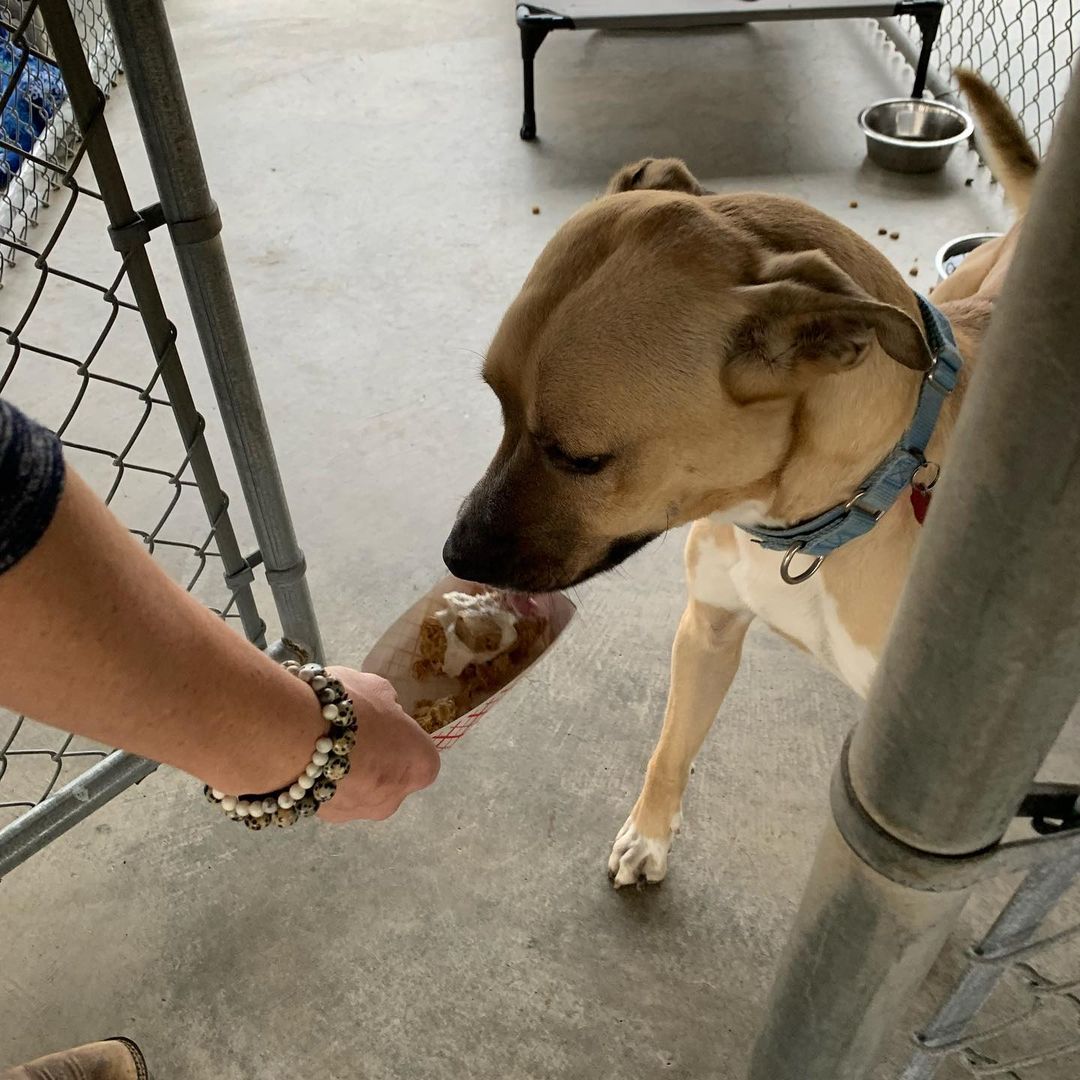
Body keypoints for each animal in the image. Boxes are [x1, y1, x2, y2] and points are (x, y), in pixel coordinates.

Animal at [442, 73, 1032, 885]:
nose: (454, 557)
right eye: (497, 404)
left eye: (581, 459)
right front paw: (649, 834)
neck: (822, 521)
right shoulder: (706, 631)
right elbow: (668, 750)